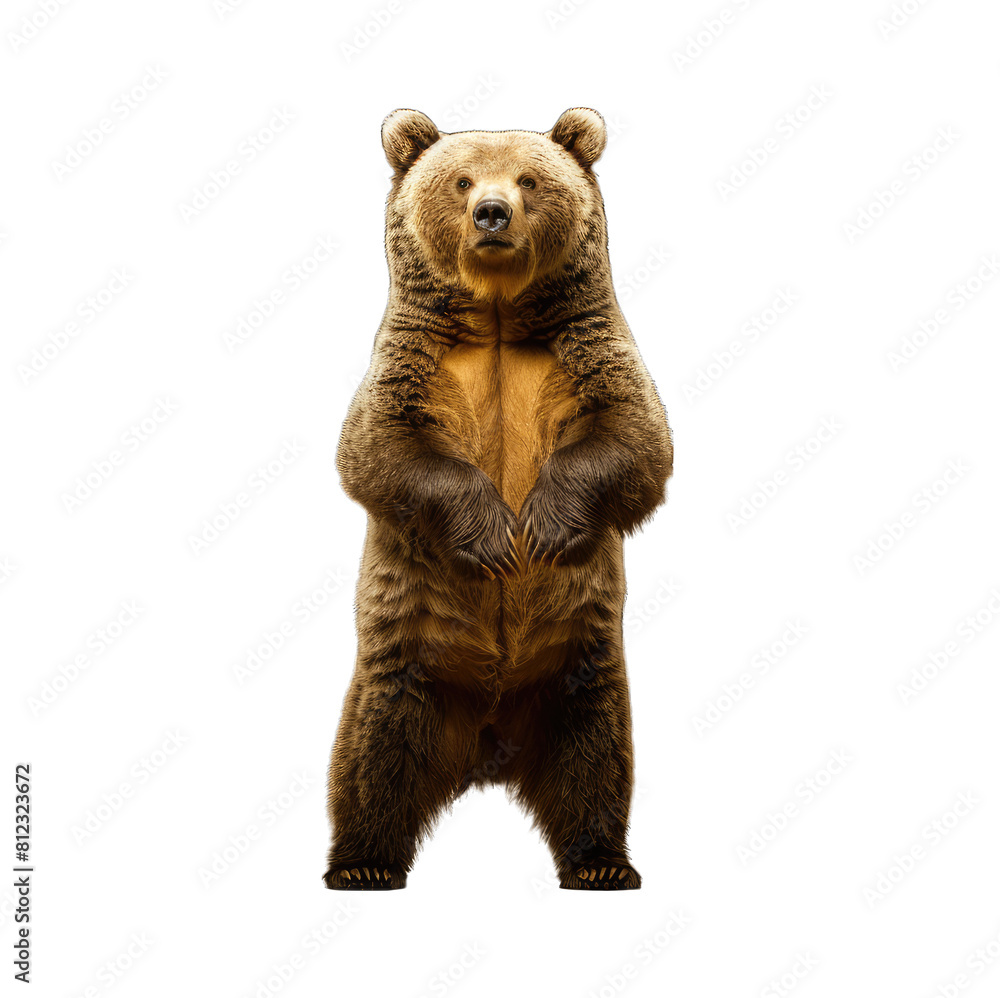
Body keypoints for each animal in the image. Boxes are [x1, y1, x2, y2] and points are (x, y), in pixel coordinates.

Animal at [323, 107, 673, 891]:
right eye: (460, 180)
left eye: (530, 179)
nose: (491, 213)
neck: (499, 321)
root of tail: (487, 750)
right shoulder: (412, 362)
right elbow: (380, 450)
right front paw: (493, 535)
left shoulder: (586, 349)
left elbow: (636, 439)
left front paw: (541, 526)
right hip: (406, 670)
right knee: (370, 756)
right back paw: (362, 863)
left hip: (580, 671)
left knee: (597, 759)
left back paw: (602, 864)